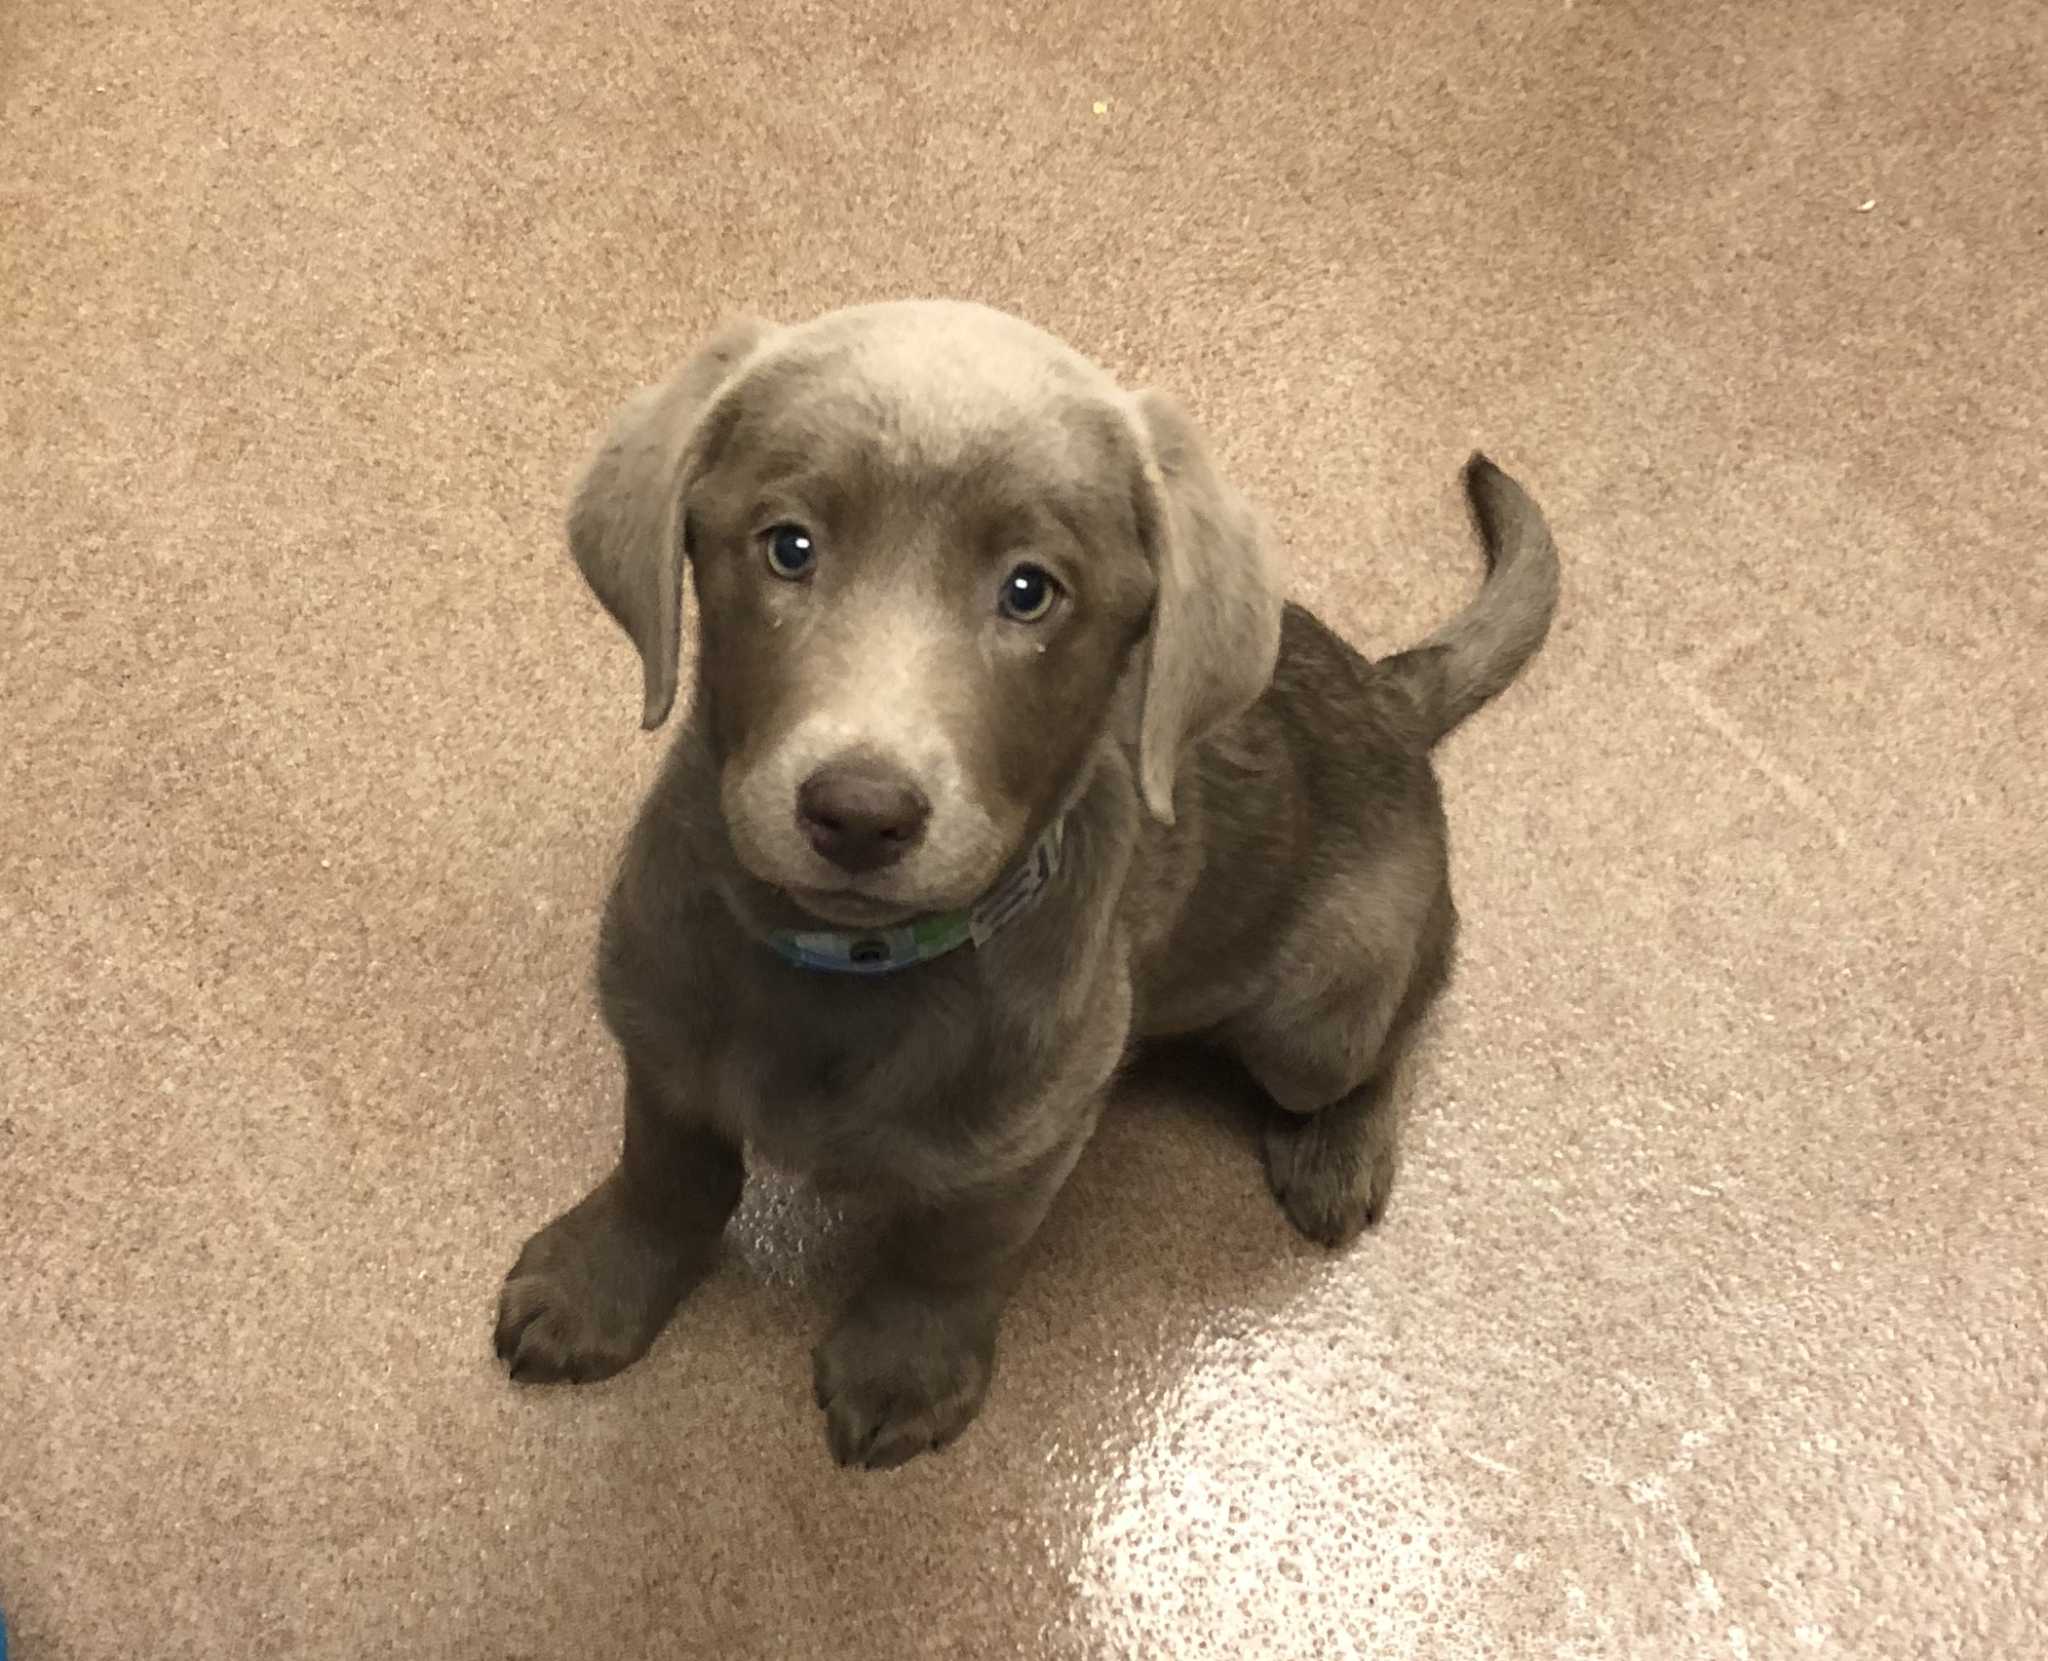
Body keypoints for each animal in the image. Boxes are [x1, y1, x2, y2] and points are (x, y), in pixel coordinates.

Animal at [491, 301, 1548, 1466]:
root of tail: (1386, 691)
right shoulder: (663, 1043)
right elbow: (664, 1173)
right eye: (789, 546)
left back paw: (1338, 1148)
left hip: (1318, 1012)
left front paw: (904, 1366)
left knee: (1393, 1028)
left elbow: (947, 1253)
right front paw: (598, 1280)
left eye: (1029, 591)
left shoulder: (1027, 1142)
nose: (859, 811)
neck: (847, 974)